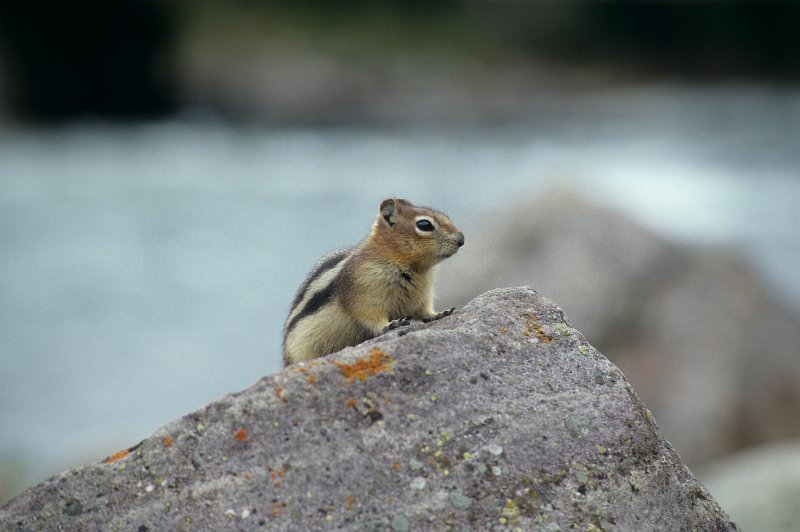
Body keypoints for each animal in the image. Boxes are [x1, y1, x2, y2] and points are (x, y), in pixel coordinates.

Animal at [284, 198, 466, 366]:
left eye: (447, 218)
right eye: (424, 225)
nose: (462, 239)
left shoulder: (423, 295)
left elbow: (424, 311)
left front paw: (439, 314)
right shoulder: (365, 294)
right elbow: (369, 316)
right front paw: (390, 324)